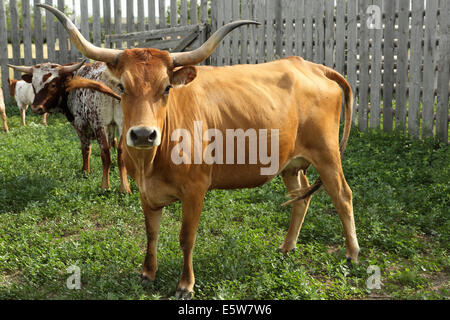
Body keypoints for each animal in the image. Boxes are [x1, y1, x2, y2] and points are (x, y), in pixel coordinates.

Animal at [7, 61, 131, 194]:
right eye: (33, 85)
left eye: (53, 85)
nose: (36, 108)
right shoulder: (112, 126)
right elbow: (113, 143)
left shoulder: (80, 123)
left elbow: (86, 149)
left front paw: (85, 172)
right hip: (123, 123)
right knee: (121, 152)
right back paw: (125, 188)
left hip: (99, 124)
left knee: (104, 153)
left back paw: (105, 186)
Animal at [40, 3, 360, 298]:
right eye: (121, 87)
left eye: (167, 88)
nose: (143, 134)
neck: (151, 162)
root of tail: (311, 66)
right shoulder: (146, 192)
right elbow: (151, 232)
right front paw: (148, 272)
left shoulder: (195, 190)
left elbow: (186, 237)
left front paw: (185, 285)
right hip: (291, 163)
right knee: (300, 197)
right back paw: (286, 247)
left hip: (327, 154)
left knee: (343, 196)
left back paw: (352, 254)